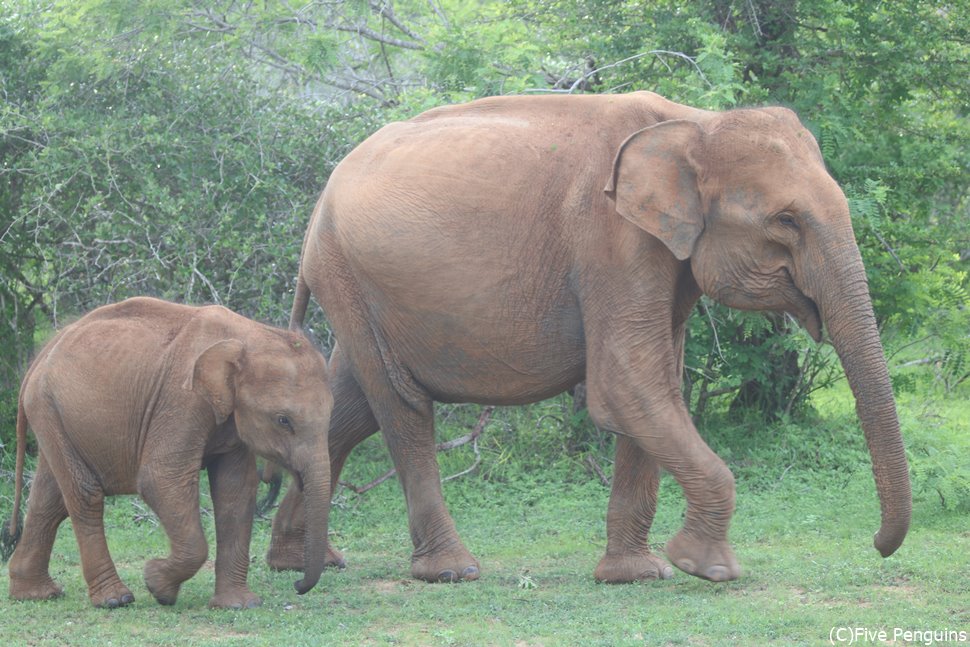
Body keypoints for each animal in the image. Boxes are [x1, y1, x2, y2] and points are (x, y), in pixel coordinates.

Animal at [4, 296, 332, 612]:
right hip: (47, 405)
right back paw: (115, 600)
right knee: (85, 495)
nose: (298, 585)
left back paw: (36, 595)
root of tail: (41, 356)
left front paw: (240, 605)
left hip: (54, 414)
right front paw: (157, 586)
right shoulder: (181, 398)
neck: (250, 334)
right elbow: (160, 479)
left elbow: (235, 490)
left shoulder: (229, 417)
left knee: (49, 500)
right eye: (283, 420)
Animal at [266, 92, 908, 588]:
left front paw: (636, 575)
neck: (696, 122)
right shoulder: (611, 239)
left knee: (350, 407)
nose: (878, 545)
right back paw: (450, 571)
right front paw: (706, 568)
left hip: (355, 285)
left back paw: (300, 562)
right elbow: (626, 387)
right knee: (400, 406)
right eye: (786, 221)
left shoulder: (657, 255)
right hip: (350, 272)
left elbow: (655, 389)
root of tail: (320, 202)